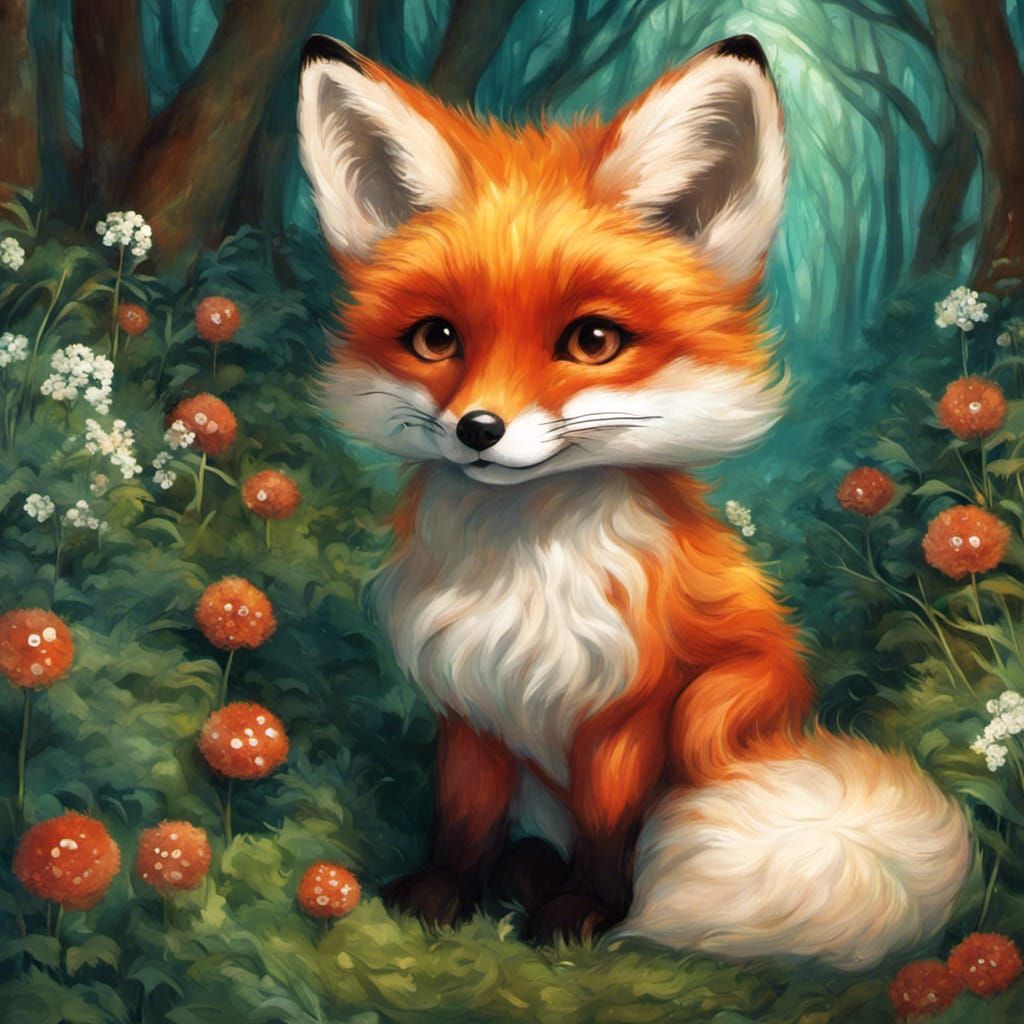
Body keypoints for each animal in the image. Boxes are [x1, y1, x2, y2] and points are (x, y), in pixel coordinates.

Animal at [297, 32, 971, 969]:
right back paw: (523, 871)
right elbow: (463, 815)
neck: (525, 576)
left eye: (592, 341)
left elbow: (611, 825)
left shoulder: (628, 706)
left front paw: (586, 912)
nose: (477, 429)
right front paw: (442, 895)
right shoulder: (469, 700)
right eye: (437, 338)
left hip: (719, 705)